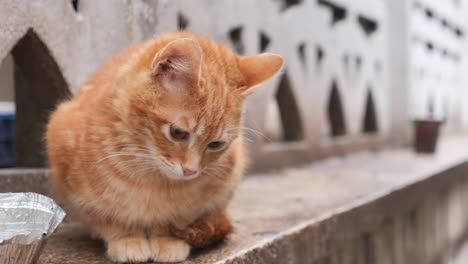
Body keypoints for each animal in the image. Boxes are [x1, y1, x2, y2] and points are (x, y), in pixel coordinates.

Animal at [46, 32, 282, 262]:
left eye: (216, 144)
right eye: (178, 132)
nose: (190, 171)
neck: (150, 177)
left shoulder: (207, 196)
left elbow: (175, 221)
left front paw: (167, 241)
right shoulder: (75, 181)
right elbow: (108, 218)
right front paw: (127, 238)